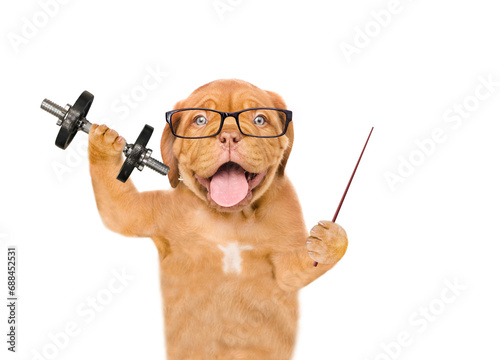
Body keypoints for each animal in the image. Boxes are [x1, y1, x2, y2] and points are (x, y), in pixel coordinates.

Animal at [88, 79, 348, 360]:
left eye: (259, 119)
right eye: (200, 120)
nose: (229, 137)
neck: (231, 217)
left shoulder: (284, 261)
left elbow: (295, 269)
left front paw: (330, 241)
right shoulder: (149, 213)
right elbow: (119, 210)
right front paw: (103, 143)